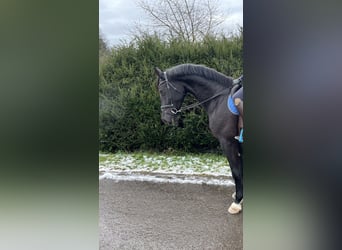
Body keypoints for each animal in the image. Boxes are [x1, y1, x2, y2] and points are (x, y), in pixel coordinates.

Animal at [155, 63, 243, 214]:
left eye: (161, 90)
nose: (165, 119)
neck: (219, 99)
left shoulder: (228, 142)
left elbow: (236, 172)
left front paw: (237, 202)